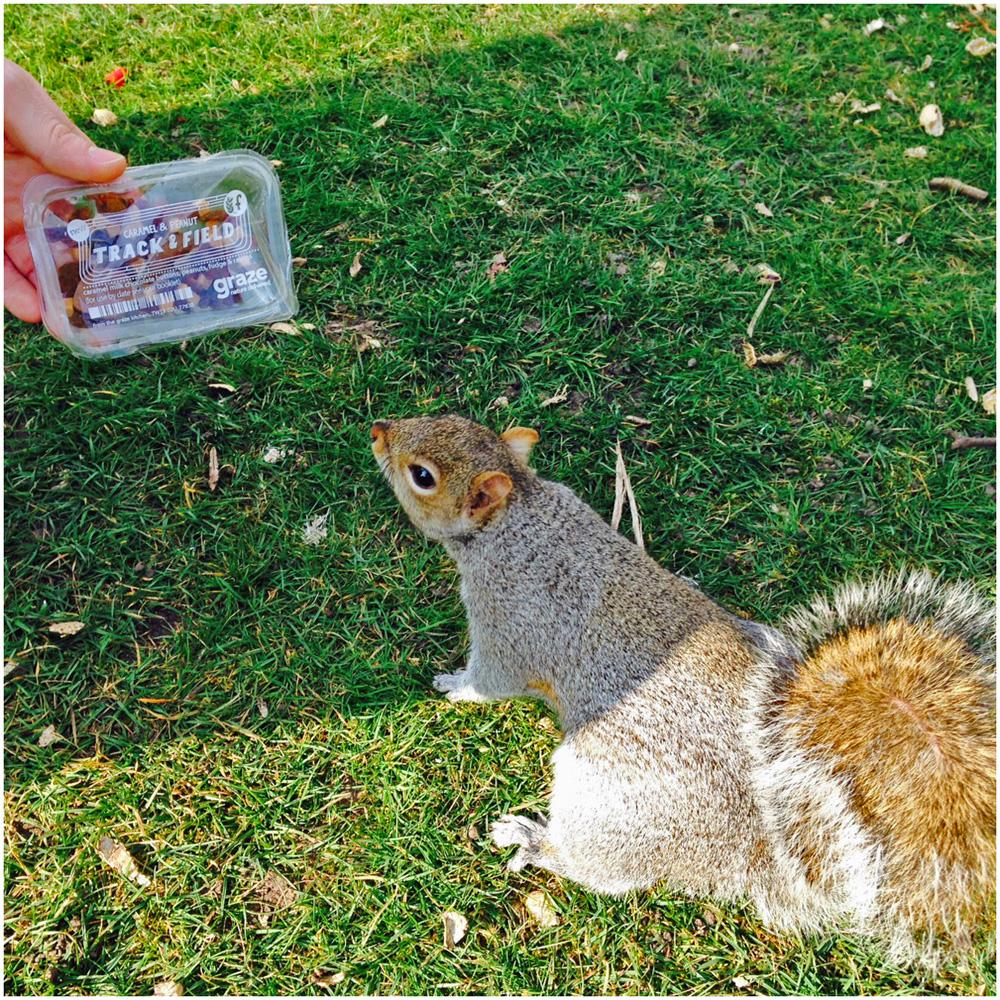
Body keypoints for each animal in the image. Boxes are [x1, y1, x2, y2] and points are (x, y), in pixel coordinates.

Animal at [371, 413, 996, 966]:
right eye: (448, 418)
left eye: (422, 475)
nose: (379, 430)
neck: (517, 515)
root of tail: (756, 843)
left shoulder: (509, 618)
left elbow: (492, 681)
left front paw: (454, 686)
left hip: (607, 797)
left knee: (602, 869)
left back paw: (533, 840)